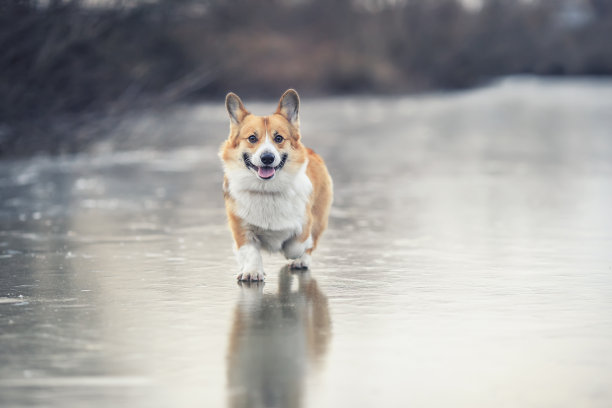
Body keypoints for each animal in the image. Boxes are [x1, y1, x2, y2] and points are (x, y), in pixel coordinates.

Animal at [220, 89, 332, 280]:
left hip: (319, 218)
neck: (267, 190)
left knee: (310, 245)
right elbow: (250, 251)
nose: (267, 158)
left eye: (279, 138)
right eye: (252, 138)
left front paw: (289, 251)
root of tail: (311, 151)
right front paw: (252, 272)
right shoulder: (241, 228)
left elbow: (296, 245)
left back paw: (301, 261)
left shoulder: (306, 220)